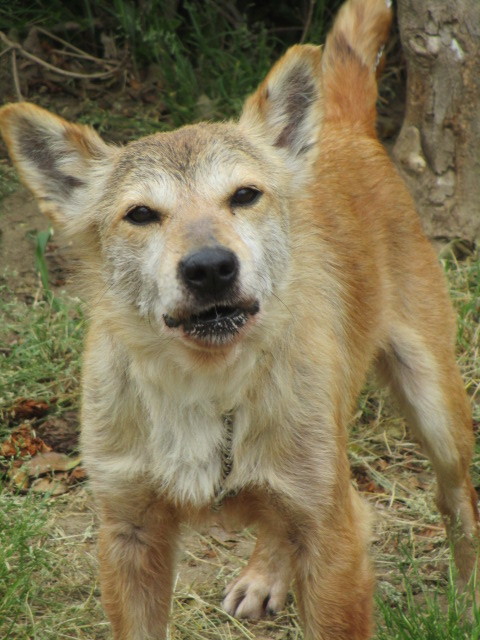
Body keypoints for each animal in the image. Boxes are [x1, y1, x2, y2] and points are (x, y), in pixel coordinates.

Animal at [0, 0, 480, 636]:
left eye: (245, 195)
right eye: (141, 214)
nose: (210, 268)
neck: (209, 385)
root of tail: (346, 128)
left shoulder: (334, 535)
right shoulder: (129, 533)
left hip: (435, 410)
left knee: (460, 504)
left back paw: (469, 600)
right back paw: (266, 573)